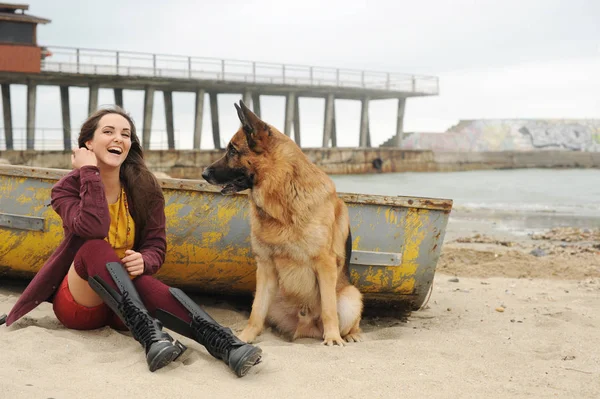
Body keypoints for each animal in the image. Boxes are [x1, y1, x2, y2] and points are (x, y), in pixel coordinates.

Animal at [202, 101, 364, 346]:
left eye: (232, 150)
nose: (203, 173)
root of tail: (305, 328)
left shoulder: (325, 264)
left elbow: (329, 309)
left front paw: (333, 338)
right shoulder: (265, 267)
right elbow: (255, 312)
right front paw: (245, 337)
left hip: (351, 297)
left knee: (348, 318)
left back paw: (350, 334)